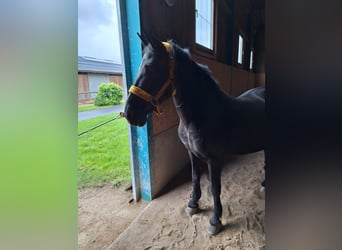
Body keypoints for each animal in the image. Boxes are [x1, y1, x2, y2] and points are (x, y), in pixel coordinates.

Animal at [124, 34, 266, 235]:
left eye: (151, 68)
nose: (130, 113)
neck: (201, 115)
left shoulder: (214, 160)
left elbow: (214, 188)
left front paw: (215, 220)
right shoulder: (191, 153)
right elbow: (195, 177)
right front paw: (193, 204)